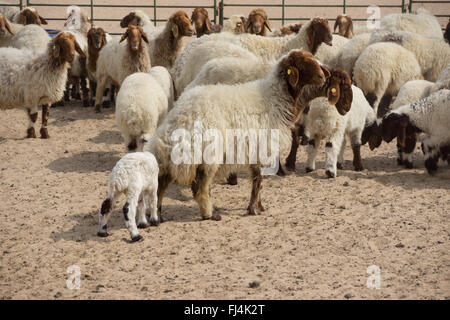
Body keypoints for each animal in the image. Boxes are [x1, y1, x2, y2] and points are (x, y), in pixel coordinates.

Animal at [144, 50, 330, 220]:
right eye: (302, 64)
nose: (322, 76)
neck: (275, 99)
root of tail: (180, 117)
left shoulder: (254, 150)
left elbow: (257, 180)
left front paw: (258, 206)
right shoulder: (261, 147)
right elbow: (258, 181)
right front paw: (254, 209)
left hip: (170, 156)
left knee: (161, 184)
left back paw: (157, 215)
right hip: (207, 156)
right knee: (199, 189)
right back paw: (209, 214)